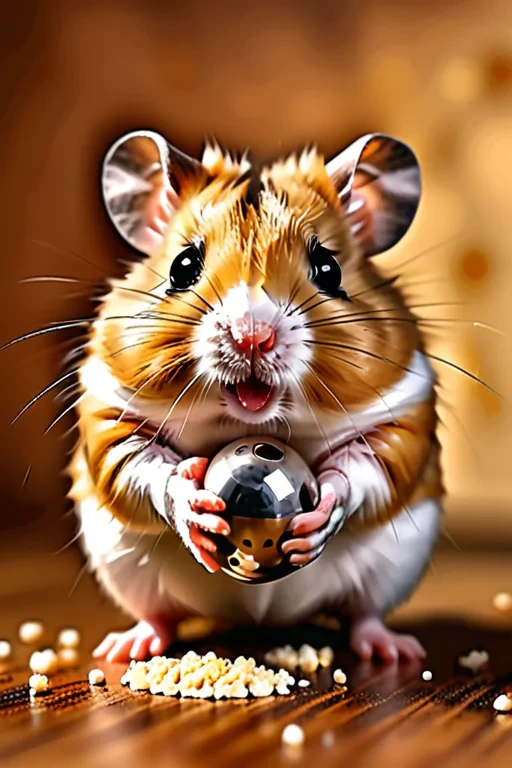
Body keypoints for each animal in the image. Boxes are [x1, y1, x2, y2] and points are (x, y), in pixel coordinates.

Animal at [68, 130, 443, 664]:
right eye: (183, 266)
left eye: (329, 268)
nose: (252, 336)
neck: (252, 419)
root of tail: (260, 620)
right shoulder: (108, 412)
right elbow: (144, 467)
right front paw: (195, 507)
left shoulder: (404, 412)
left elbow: (359, 471)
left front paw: (317, 518)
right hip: (124, 570)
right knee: (159, 615)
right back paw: (125, 648)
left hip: (392, 569)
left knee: (362, 615)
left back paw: (395, 651)